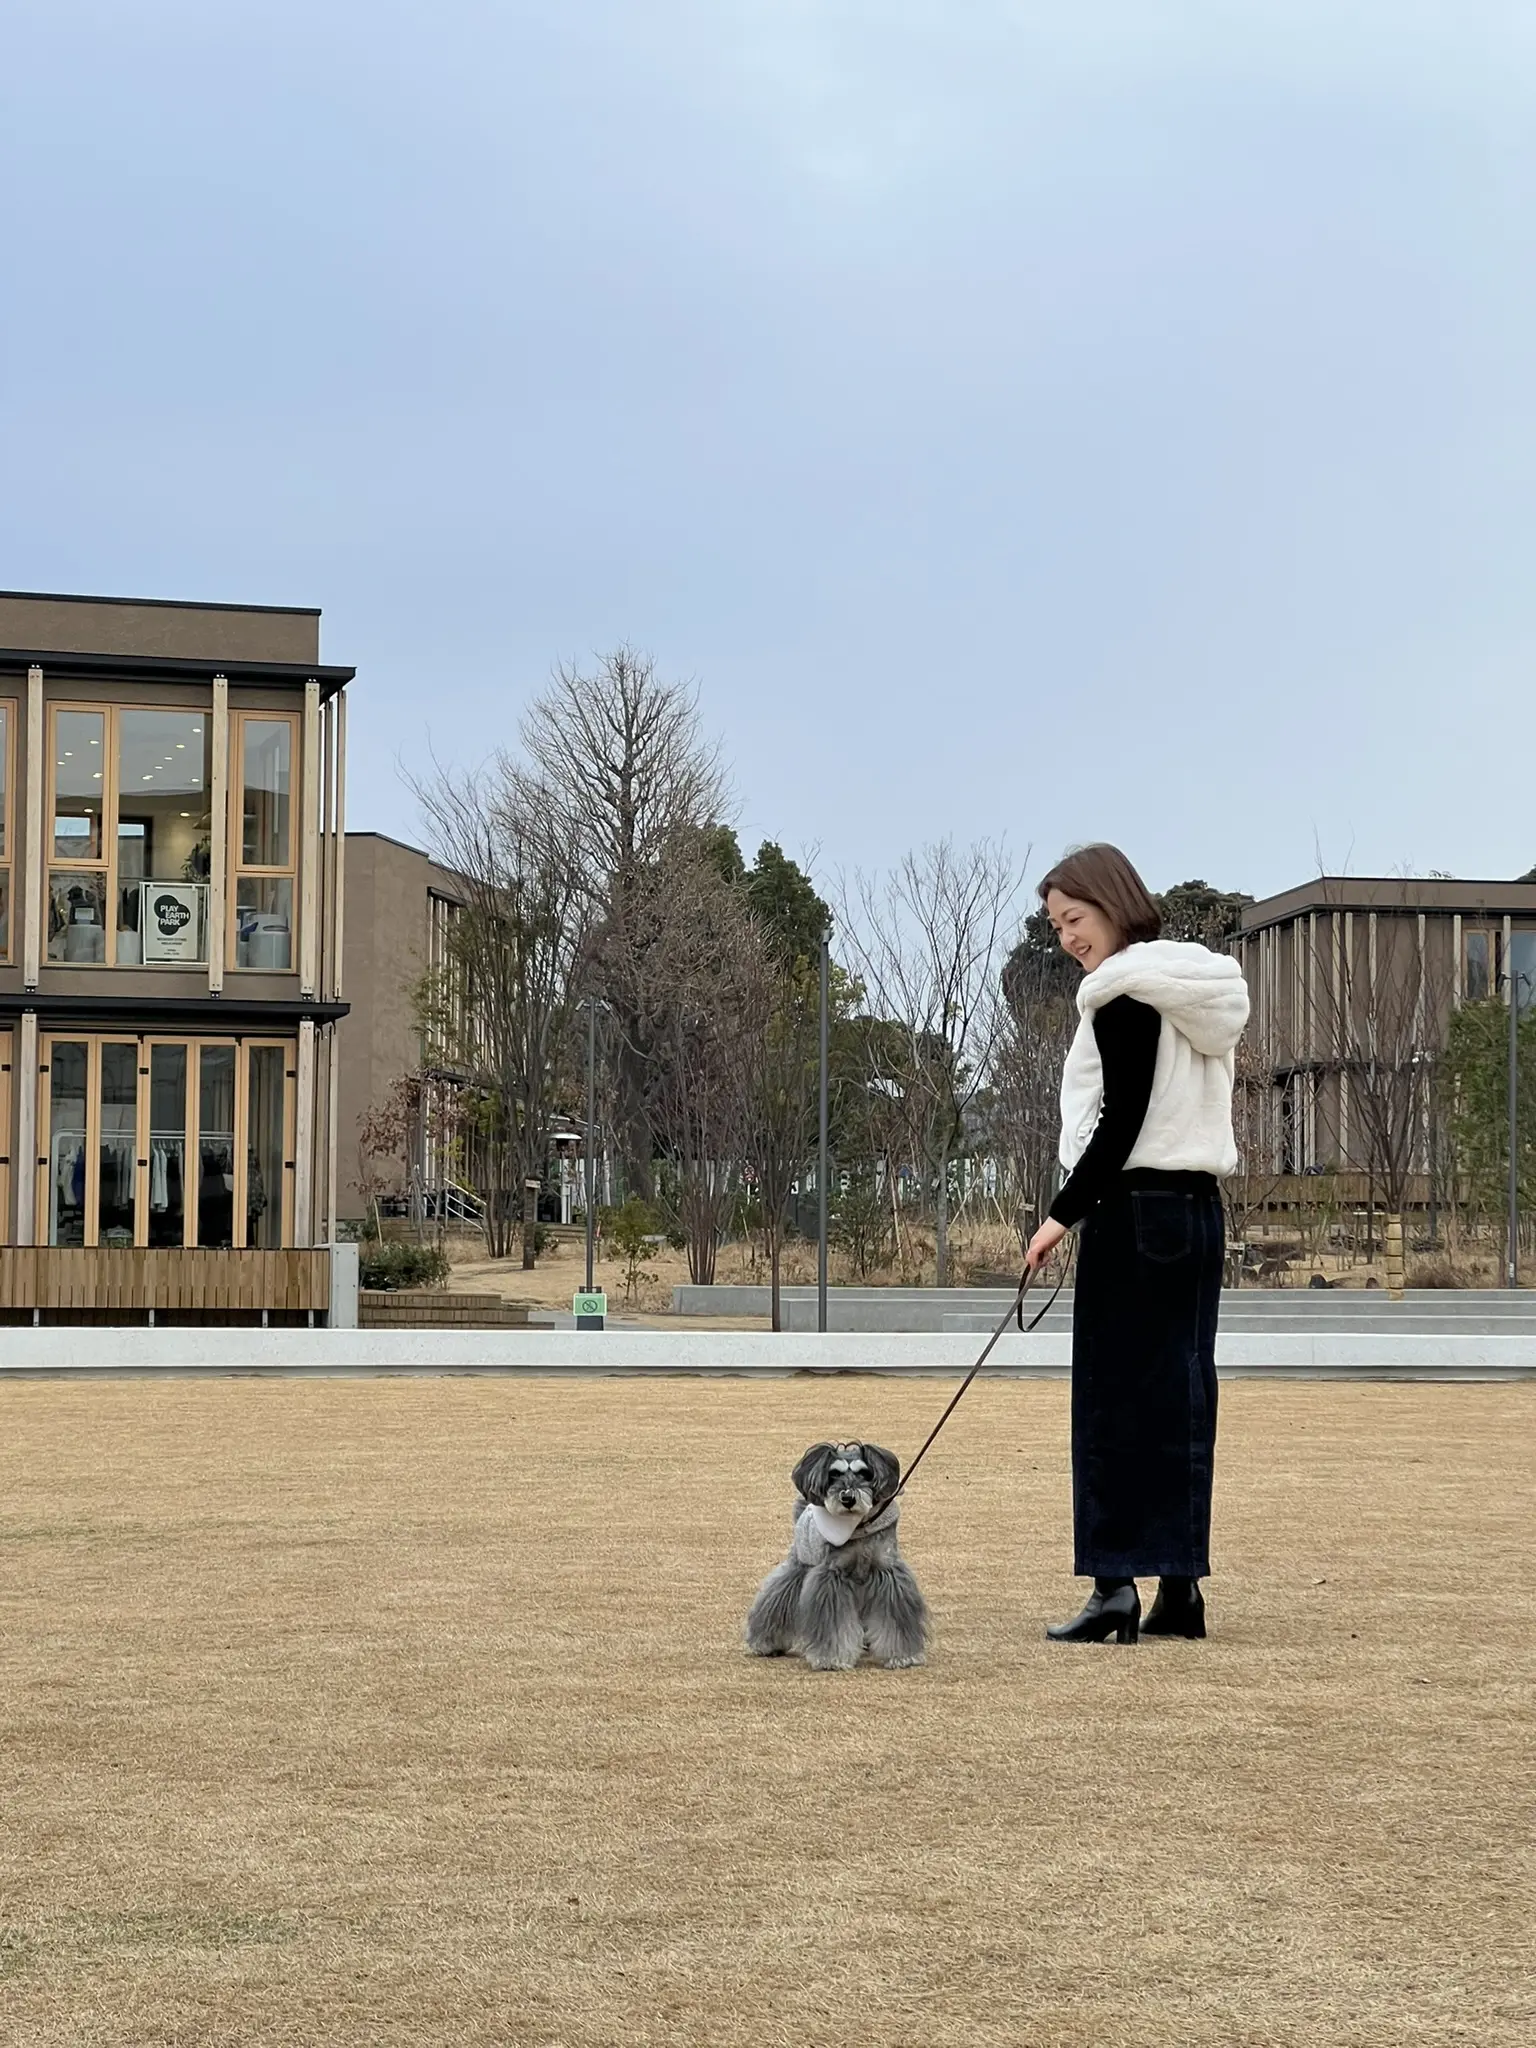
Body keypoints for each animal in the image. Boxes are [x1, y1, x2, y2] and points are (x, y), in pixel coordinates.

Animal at [741, 1441, 925, 1662]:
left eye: (864, 1473)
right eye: (833, 1474)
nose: (847, 1498)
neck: (859, 1526)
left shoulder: (888, 1572)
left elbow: (896, 1618)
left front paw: (902, 1655)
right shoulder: (832, 1576)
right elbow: (832, 1624)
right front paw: (831, 1658)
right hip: (799, 1564)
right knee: (776, 1596)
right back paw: (765, 1642)